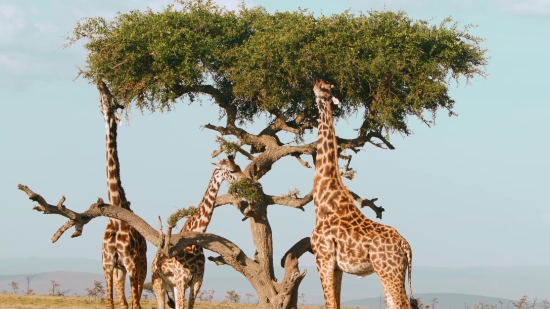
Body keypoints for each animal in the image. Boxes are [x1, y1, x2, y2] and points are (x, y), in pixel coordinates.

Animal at [310, 79, 422, 308]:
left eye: (325, 88)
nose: (315, 83)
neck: (323, 199)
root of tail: (406, 246)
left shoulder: (323, 258)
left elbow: (330, 304)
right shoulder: (336, 266)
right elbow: (336, 304)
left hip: (388, 271)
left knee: (404, 304)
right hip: (391, 271)